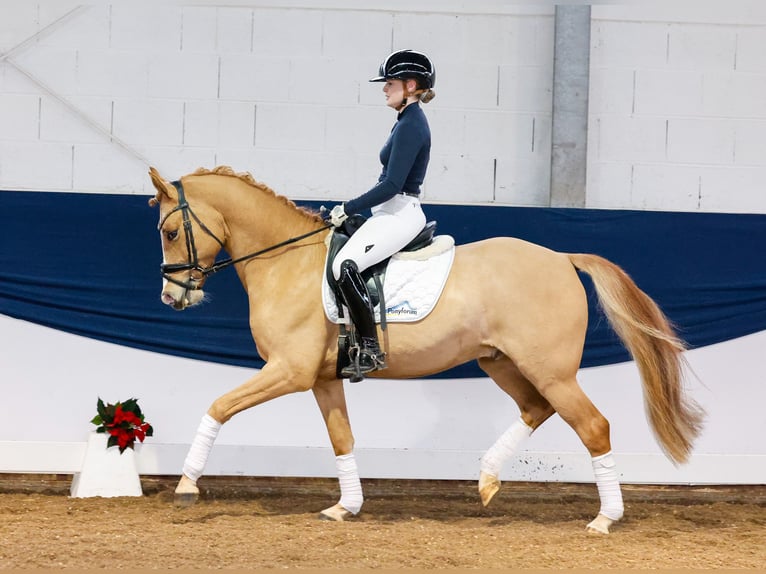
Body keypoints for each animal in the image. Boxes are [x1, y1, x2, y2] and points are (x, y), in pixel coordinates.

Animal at [147, 165, 704, 536]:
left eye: (171, 231)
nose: (172, 298)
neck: (287, 262)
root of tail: (562, 258)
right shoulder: (323, 379)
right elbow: (342, 439)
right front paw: (346, 507)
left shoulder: (289, 371)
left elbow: (218, 407)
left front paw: (187, 485)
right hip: (501, 362)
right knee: (535, 409)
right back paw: (486, 480)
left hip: (552, 371)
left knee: (593, 426)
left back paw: (604, 518)